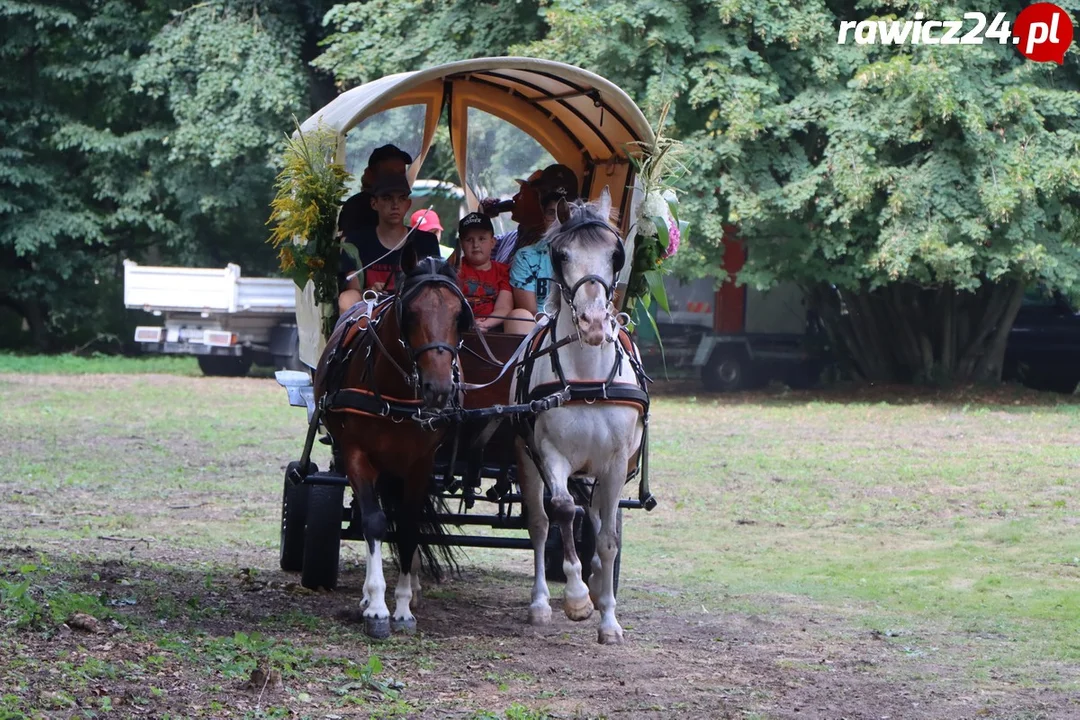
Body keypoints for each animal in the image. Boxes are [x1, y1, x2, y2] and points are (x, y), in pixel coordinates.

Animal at [315, 255, 477, 639]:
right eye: (411, 313)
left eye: (458, 316)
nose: (438, 389)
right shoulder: (357, 455)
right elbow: (374, 522)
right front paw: (376, 607)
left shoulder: (420, 465)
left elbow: (407, 528)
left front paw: (403, 609)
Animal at [509, 188, 643, 643]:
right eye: (561, 254)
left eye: (616, 255)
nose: (594, 322)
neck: (587, 380)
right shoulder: (550, 453)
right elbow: (564, 511)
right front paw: (577, 597)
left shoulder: (615, 464)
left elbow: (608, 538)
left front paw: (609, 619)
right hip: (528, 462)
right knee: (539, 523)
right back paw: (539, 603)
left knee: (601, 521)